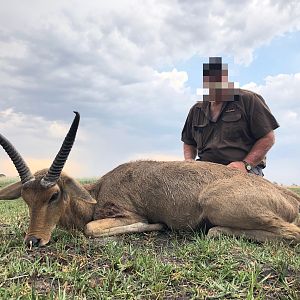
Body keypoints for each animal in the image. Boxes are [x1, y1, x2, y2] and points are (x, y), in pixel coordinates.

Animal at [0, 112, 298, 246]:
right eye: (26, 198)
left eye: (54, 195)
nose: (33, 241)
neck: (98, 189)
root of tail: (288, 197)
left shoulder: (126, 214)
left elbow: (91, 229)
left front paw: (156, 225)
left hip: (217, 204)